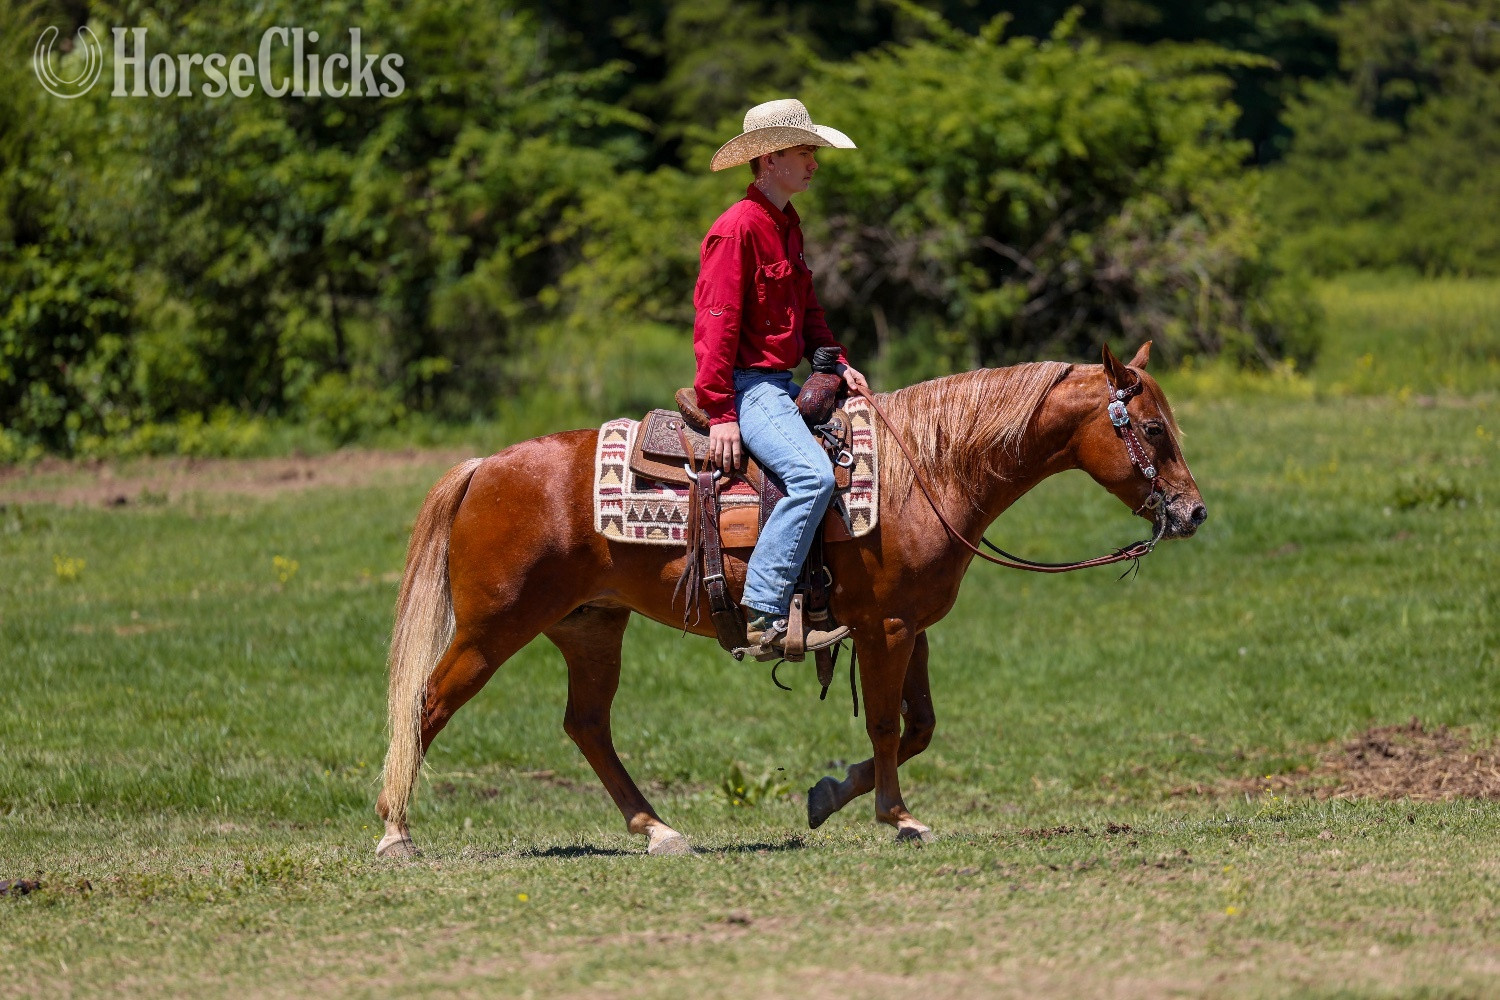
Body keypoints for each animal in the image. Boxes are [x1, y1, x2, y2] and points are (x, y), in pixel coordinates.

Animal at [374, 342, 1206, 856]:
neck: (927, 469)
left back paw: (659, 831)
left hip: (590, 627)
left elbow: (920, 726)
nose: (1193, 513)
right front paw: (899, 818)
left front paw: (830, 796)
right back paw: (395, 834)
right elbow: (884, 724)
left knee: (587, 726)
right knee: (427, 704)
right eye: (1154, 430)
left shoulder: (912, 627)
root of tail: (485, 466)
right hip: (494, 627)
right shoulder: (886, 627)